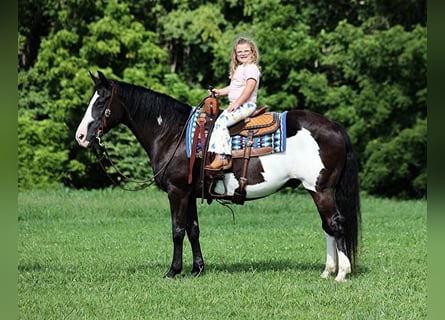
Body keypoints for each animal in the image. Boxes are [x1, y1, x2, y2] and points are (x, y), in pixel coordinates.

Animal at [75, 71, 360, 282]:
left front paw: (173, 271)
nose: (80, 136)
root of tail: (334, 126)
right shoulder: (189, 193)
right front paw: (197, 269)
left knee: (336, 224)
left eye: (101, 101)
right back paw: (327, 271)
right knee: (327, 227)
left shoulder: (177, 192)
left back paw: (341, 274)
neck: (173, 134)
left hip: (321, 190)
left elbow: (177, 230)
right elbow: (193, 230)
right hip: (317, 191)